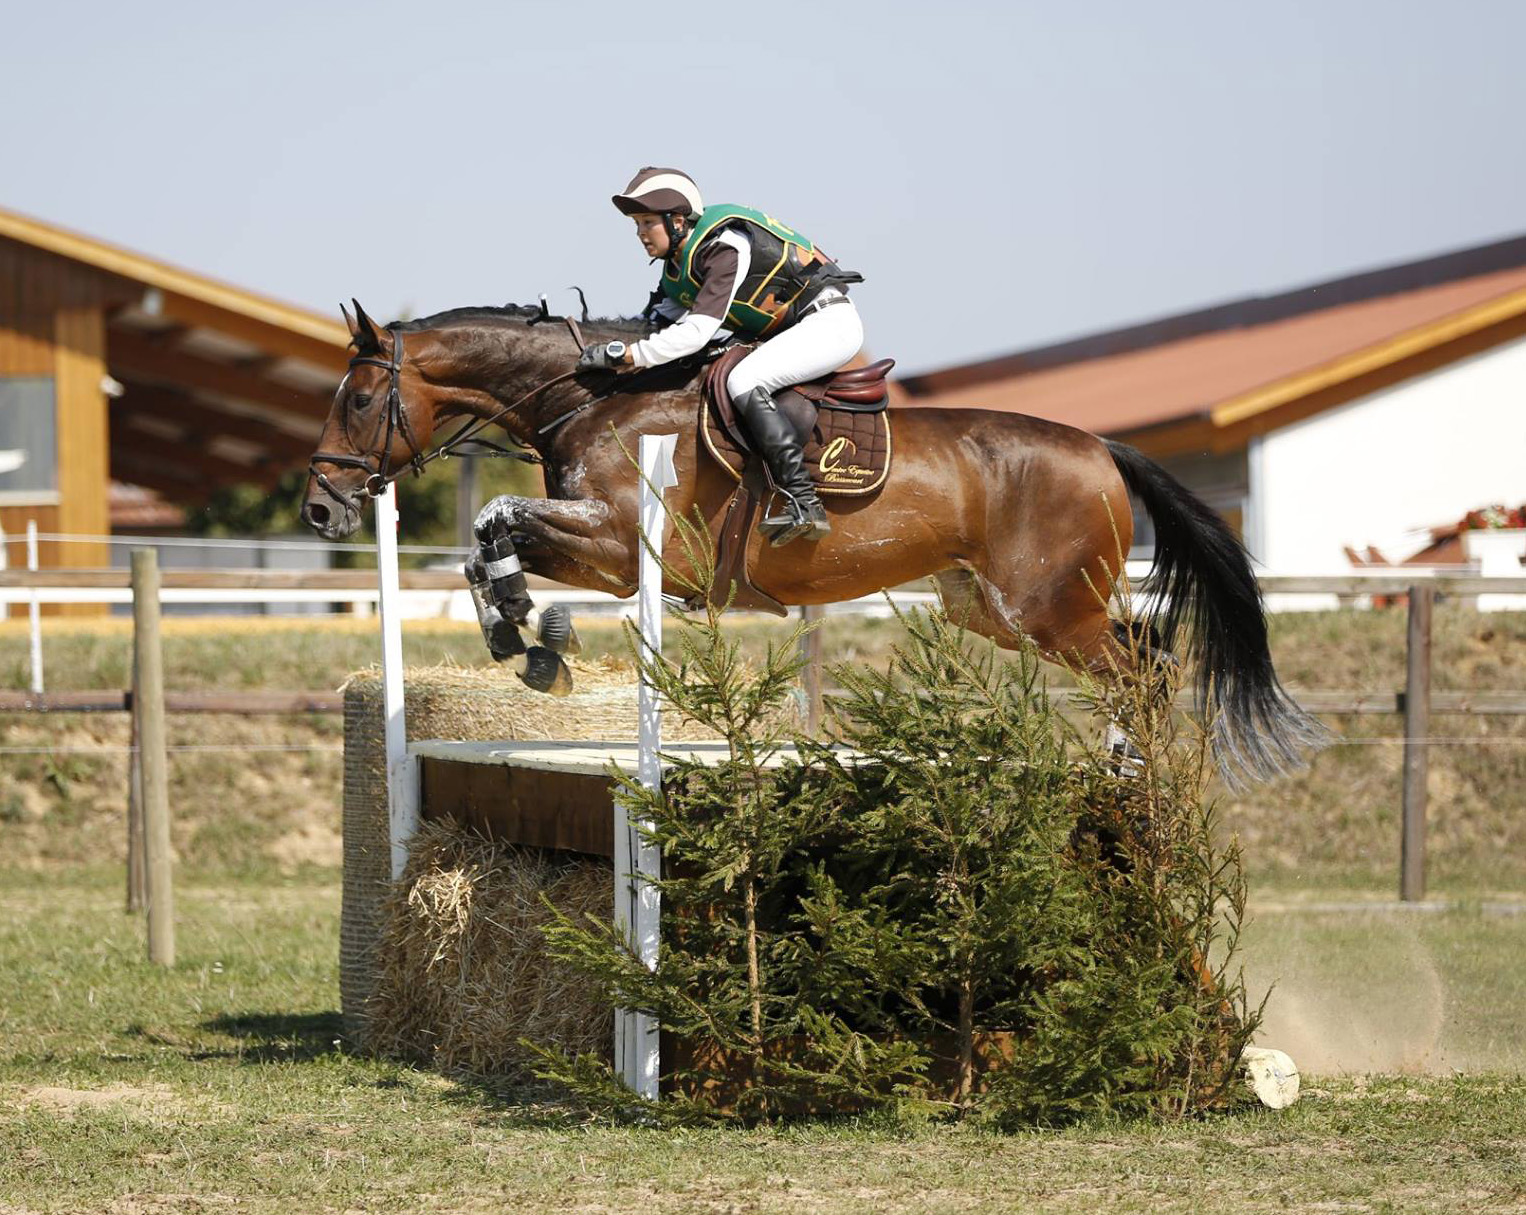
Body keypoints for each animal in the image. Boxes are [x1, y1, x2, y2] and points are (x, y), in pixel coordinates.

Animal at [303, 299, 1318, 781]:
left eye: (358, 398)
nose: (320, 511)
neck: (593, 400)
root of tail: (1102, 447)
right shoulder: (601, 550)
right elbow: (485, 543)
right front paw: (520, 634)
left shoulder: (629, 549)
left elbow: (495, 522)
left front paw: (532, 631)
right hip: (995, 608)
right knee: (1143, 646)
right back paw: (1127, 765)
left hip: (1047, 605)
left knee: (1143, 664)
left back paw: (1127, 770)